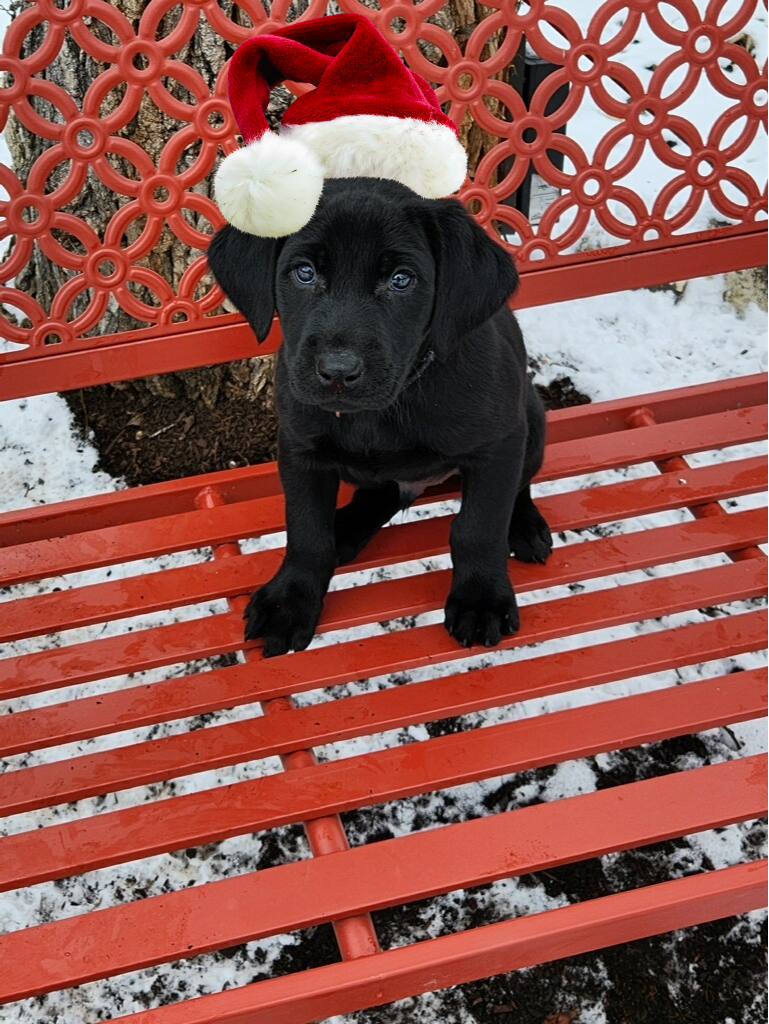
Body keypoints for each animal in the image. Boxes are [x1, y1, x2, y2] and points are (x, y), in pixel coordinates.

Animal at [207, 176, 548, 655]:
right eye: (304, 273)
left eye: (401, 280)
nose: (337, 371)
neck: (381, 412)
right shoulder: (299, 449)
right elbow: (306, 532)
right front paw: (290, 600)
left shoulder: (498, 445)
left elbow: (479, 527)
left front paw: (481, 599)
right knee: (382, 495)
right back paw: (347, 528)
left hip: (531, 420)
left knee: (519, 485)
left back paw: (526, 524)